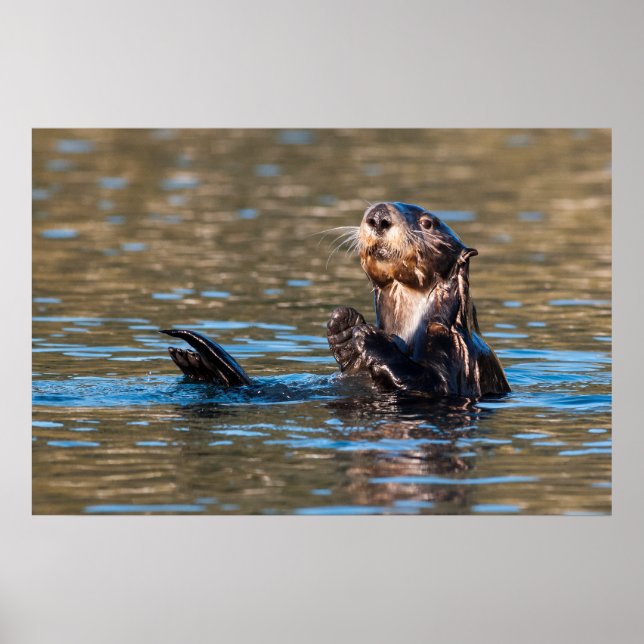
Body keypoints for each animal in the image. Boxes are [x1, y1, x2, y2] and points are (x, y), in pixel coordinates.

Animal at [161, 202, 510, 397]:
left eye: (428, 223)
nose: (378, 216)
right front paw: (343, 325)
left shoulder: (456, 353)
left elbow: (430, 383)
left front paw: (369, 337)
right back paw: (195, 364)